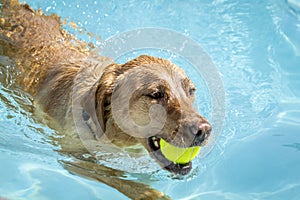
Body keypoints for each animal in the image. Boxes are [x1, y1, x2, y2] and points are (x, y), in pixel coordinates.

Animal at [0, 0, 211, 199]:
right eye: (156, 94)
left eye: (191, 91)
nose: (204, 130)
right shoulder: (74, 157)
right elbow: (113, 175)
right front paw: (149, 193)